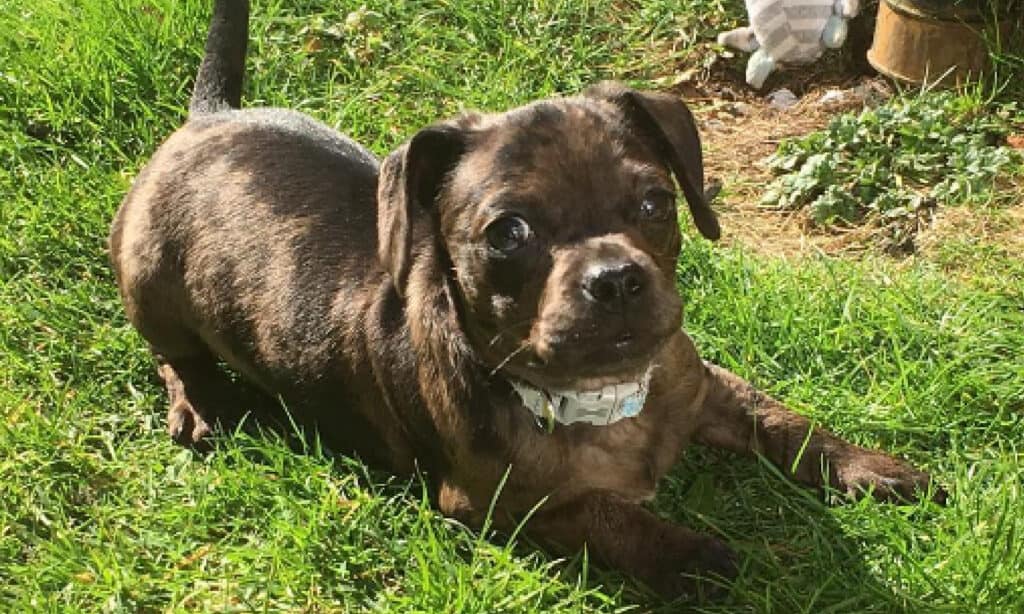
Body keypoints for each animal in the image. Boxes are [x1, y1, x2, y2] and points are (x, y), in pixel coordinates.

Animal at [110, 0, 942, 597]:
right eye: (508, 234)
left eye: (654, 203)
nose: (616, 278)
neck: (600, 401)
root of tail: (208, 118)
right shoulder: (496, 503)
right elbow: (604, 514)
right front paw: (693, 555)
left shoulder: (703, 385)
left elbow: (781, 419)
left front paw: (869, 467)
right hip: (150, 284)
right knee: (171, 355)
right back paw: (199, 404)